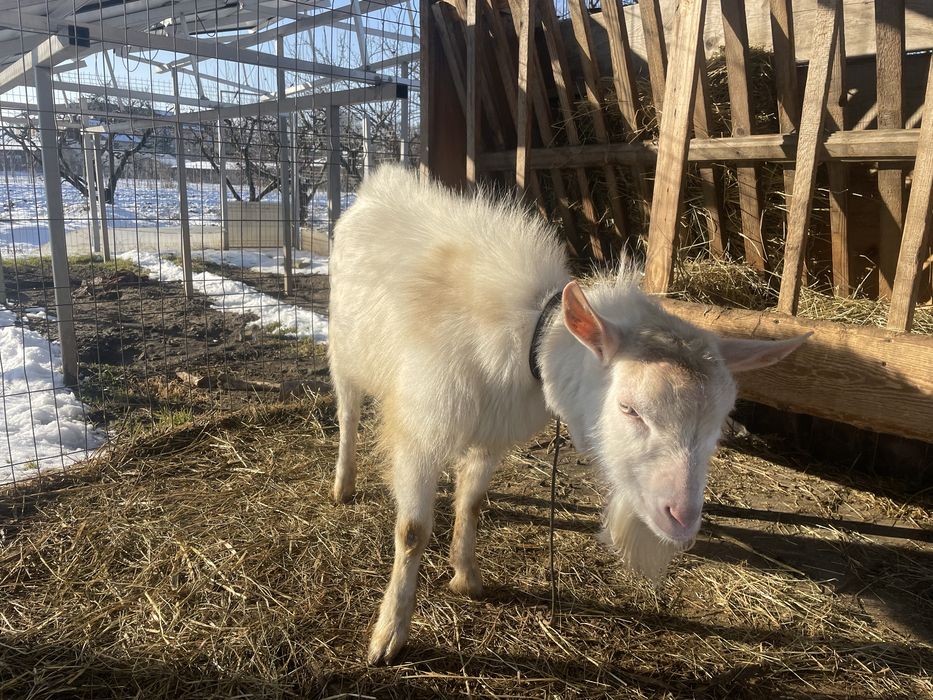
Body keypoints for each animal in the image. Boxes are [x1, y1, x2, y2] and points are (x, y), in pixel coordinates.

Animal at [327, 166, 809, 664]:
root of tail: (379, 185)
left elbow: (471, 503)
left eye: (717, 426)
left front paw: (466, 577)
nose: (682, 518)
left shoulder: (491, 436)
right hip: (343, 349)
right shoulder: (421, 431)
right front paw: (389, 635)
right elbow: (412, 531)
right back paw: (343, 485)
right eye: (629, 408)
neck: (528, 334)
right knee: (346, 414)